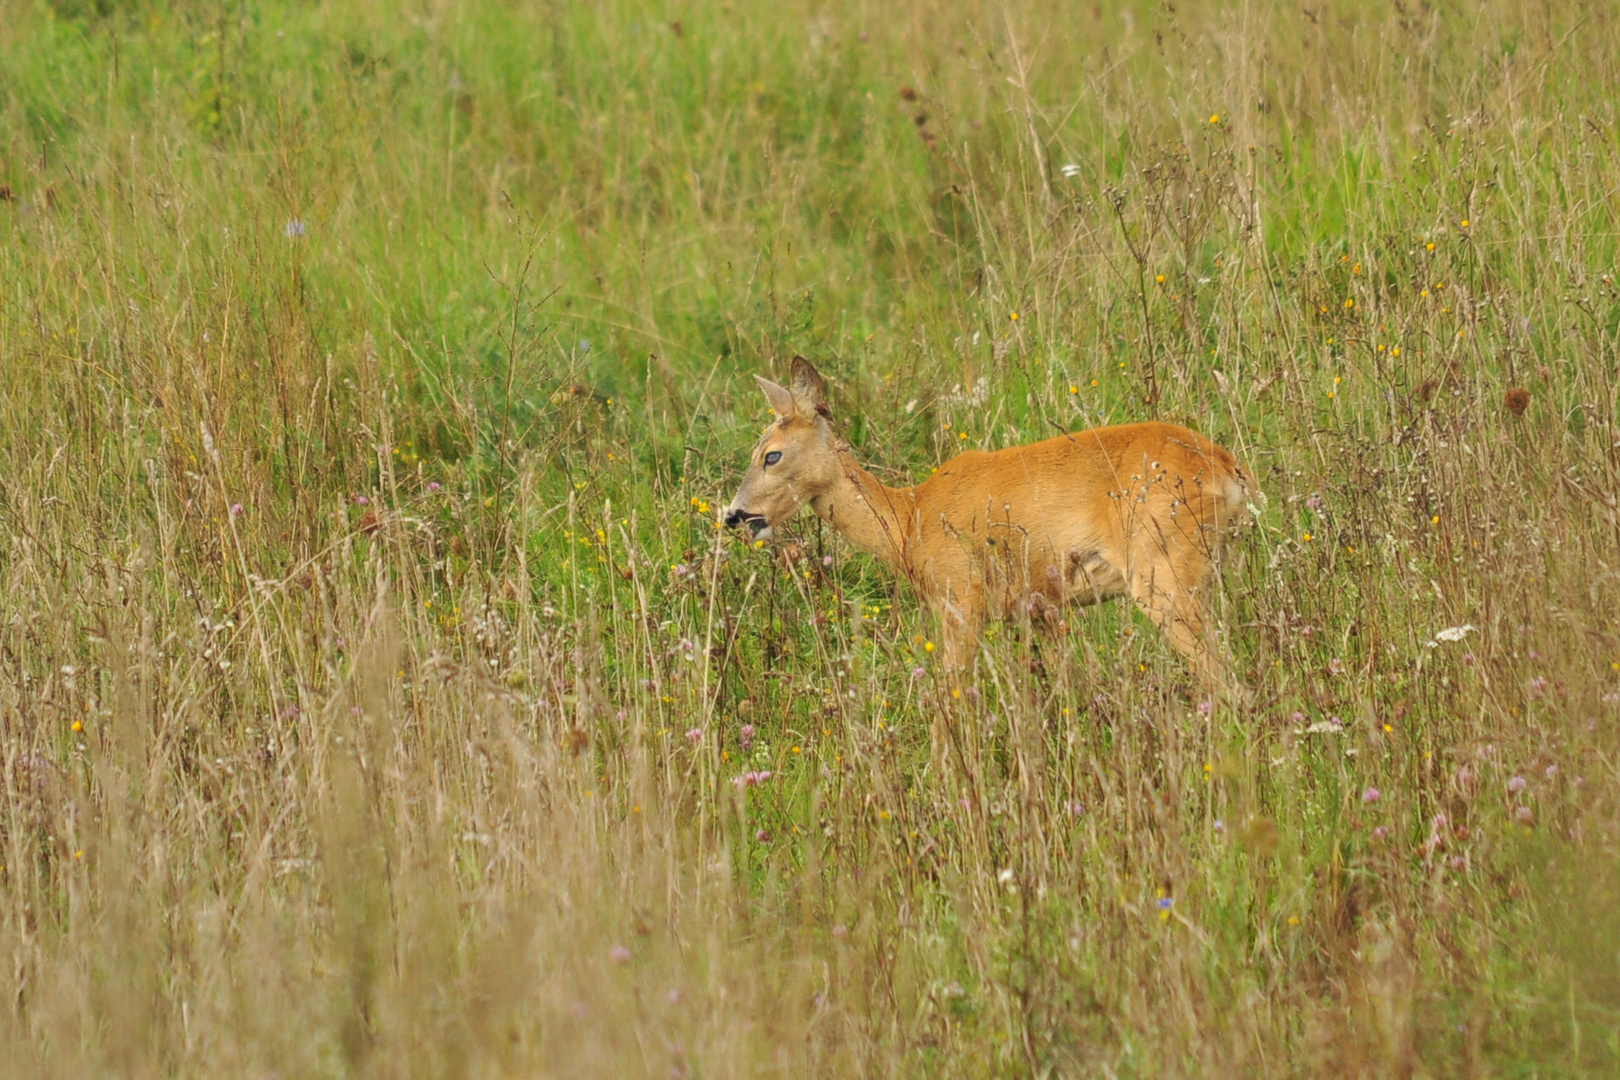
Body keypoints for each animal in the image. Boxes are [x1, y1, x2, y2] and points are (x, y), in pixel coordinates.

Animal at [729, 354, 1257, 693]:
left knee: (1227, 680)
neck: (908, 519)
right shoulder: (1042, 606)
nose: (734, 515)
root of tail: (1227, 469)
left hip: (1164, 570)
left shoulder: (962, 596)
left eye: (771, 455)